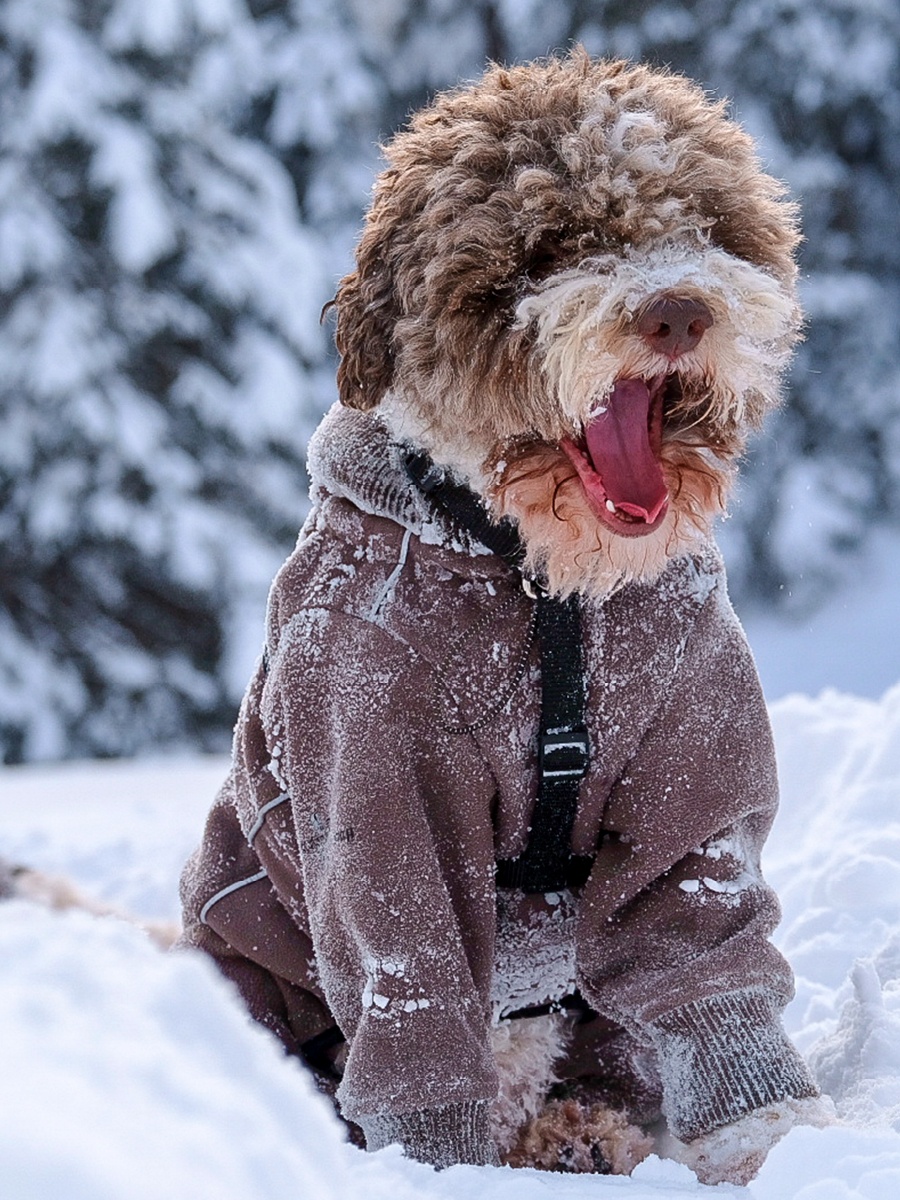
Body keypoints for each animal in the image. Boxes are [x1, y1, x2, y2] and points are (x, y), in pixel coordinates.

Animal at [180, 51, 835, 1185]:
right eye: (550, 247)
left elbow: (702, 942)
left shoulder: (692, 739)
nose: (676, 311)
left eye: (704, 225)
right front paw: (436, 1167)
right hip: (245, 970)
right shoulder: (374, 761)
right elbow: (415, 986)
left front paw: (777, 1141)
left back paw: (584, 1131)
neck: (545, 586)